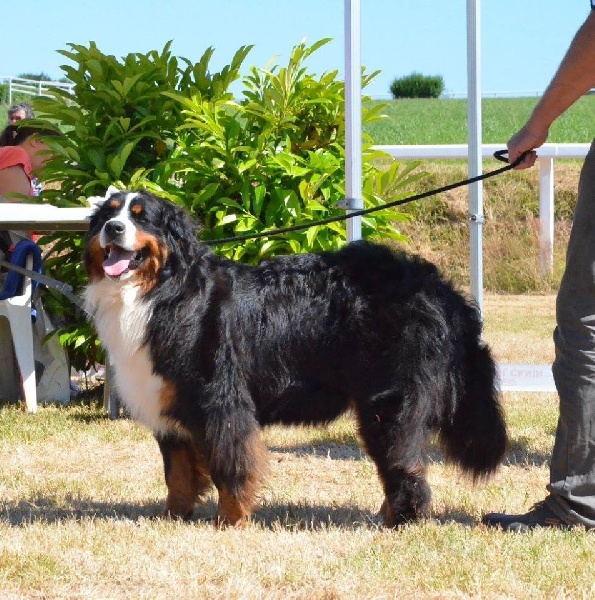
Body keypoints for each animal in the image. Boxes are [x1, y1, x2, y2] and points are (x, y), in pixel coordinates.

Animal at [84, 186, 508, 524]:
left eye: (142, 217)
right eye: (109, 213)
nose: (113, 228)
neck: (161, 291)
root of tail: (436, 286)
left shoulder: (219, 401)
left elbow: (231, 467)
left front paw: (230, 521)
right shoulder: (168, 399)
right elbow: (178, 474)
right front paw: (173, 518)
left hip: (390, 403)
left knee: (404, 464)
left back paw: (400, 522)